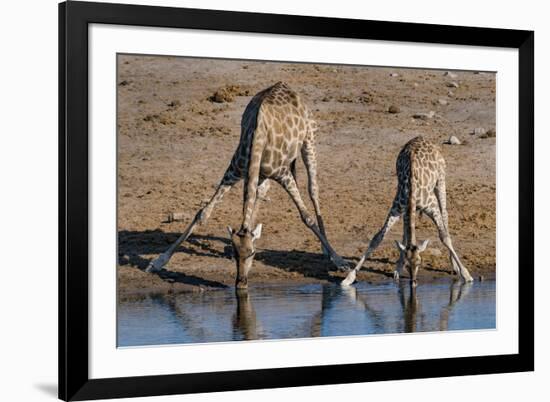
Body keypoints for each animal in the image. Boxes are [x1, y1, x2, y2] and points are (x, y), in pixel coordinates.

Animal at [147, 81, 344, 288]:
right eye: (236, 254)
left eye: (252, 253)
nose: (240, 283)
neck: (257, 138)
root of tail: (287, 86)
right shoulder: (235, 171)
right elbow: (203, 213)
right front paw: (158, 262)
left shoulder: (282, 174)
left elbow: (307, 217)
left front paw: (340, 261)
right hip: (261, 173)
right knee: (260, 192)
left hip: (309, 140)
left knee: (313, 189)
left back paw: (326, 250)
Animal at [344, 137, 474, 288]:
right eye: (408, 265)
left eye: (420, 262)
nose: (413, 283)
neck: (412, 190)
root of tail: (422, 137)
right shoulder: (397, 208)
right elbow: (377, 238)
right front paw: (349, 277)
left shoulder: (432, 207)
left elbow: (444, 237)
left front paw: (466, 274)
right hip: (406, 208)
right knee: (406, 228)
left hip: (440, 180)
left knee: (445, 214)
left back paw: (454, 265)